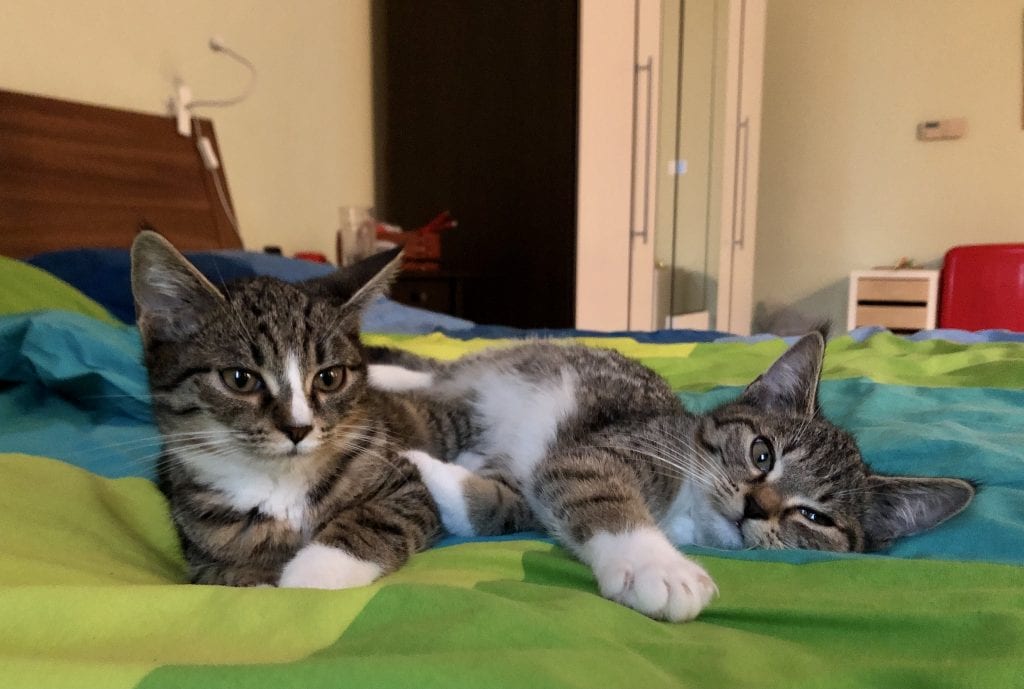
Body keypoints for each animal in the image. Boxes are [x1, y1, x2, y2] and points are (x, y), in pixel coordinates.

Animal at [130, 231, 442, 585]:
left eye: (329, 378)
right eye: (239, 379)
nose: (298, 428)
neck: (280, 484)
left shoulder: (404, 481)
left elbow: (379, 517)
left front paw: (311, 575)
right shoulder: (200, 547)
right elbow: (228, 574)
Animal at [368, 333, 974, 622]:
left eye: (814, 516)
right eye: (762, 453)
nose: (756, 507)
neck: (685, 511)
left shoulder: (539, 476)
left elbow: (499, 504)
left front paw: (442, 472)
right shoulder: (603, 450)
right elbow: (599, 491)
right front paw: (657, 566)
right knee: (430, 372)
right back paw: (379, 370)